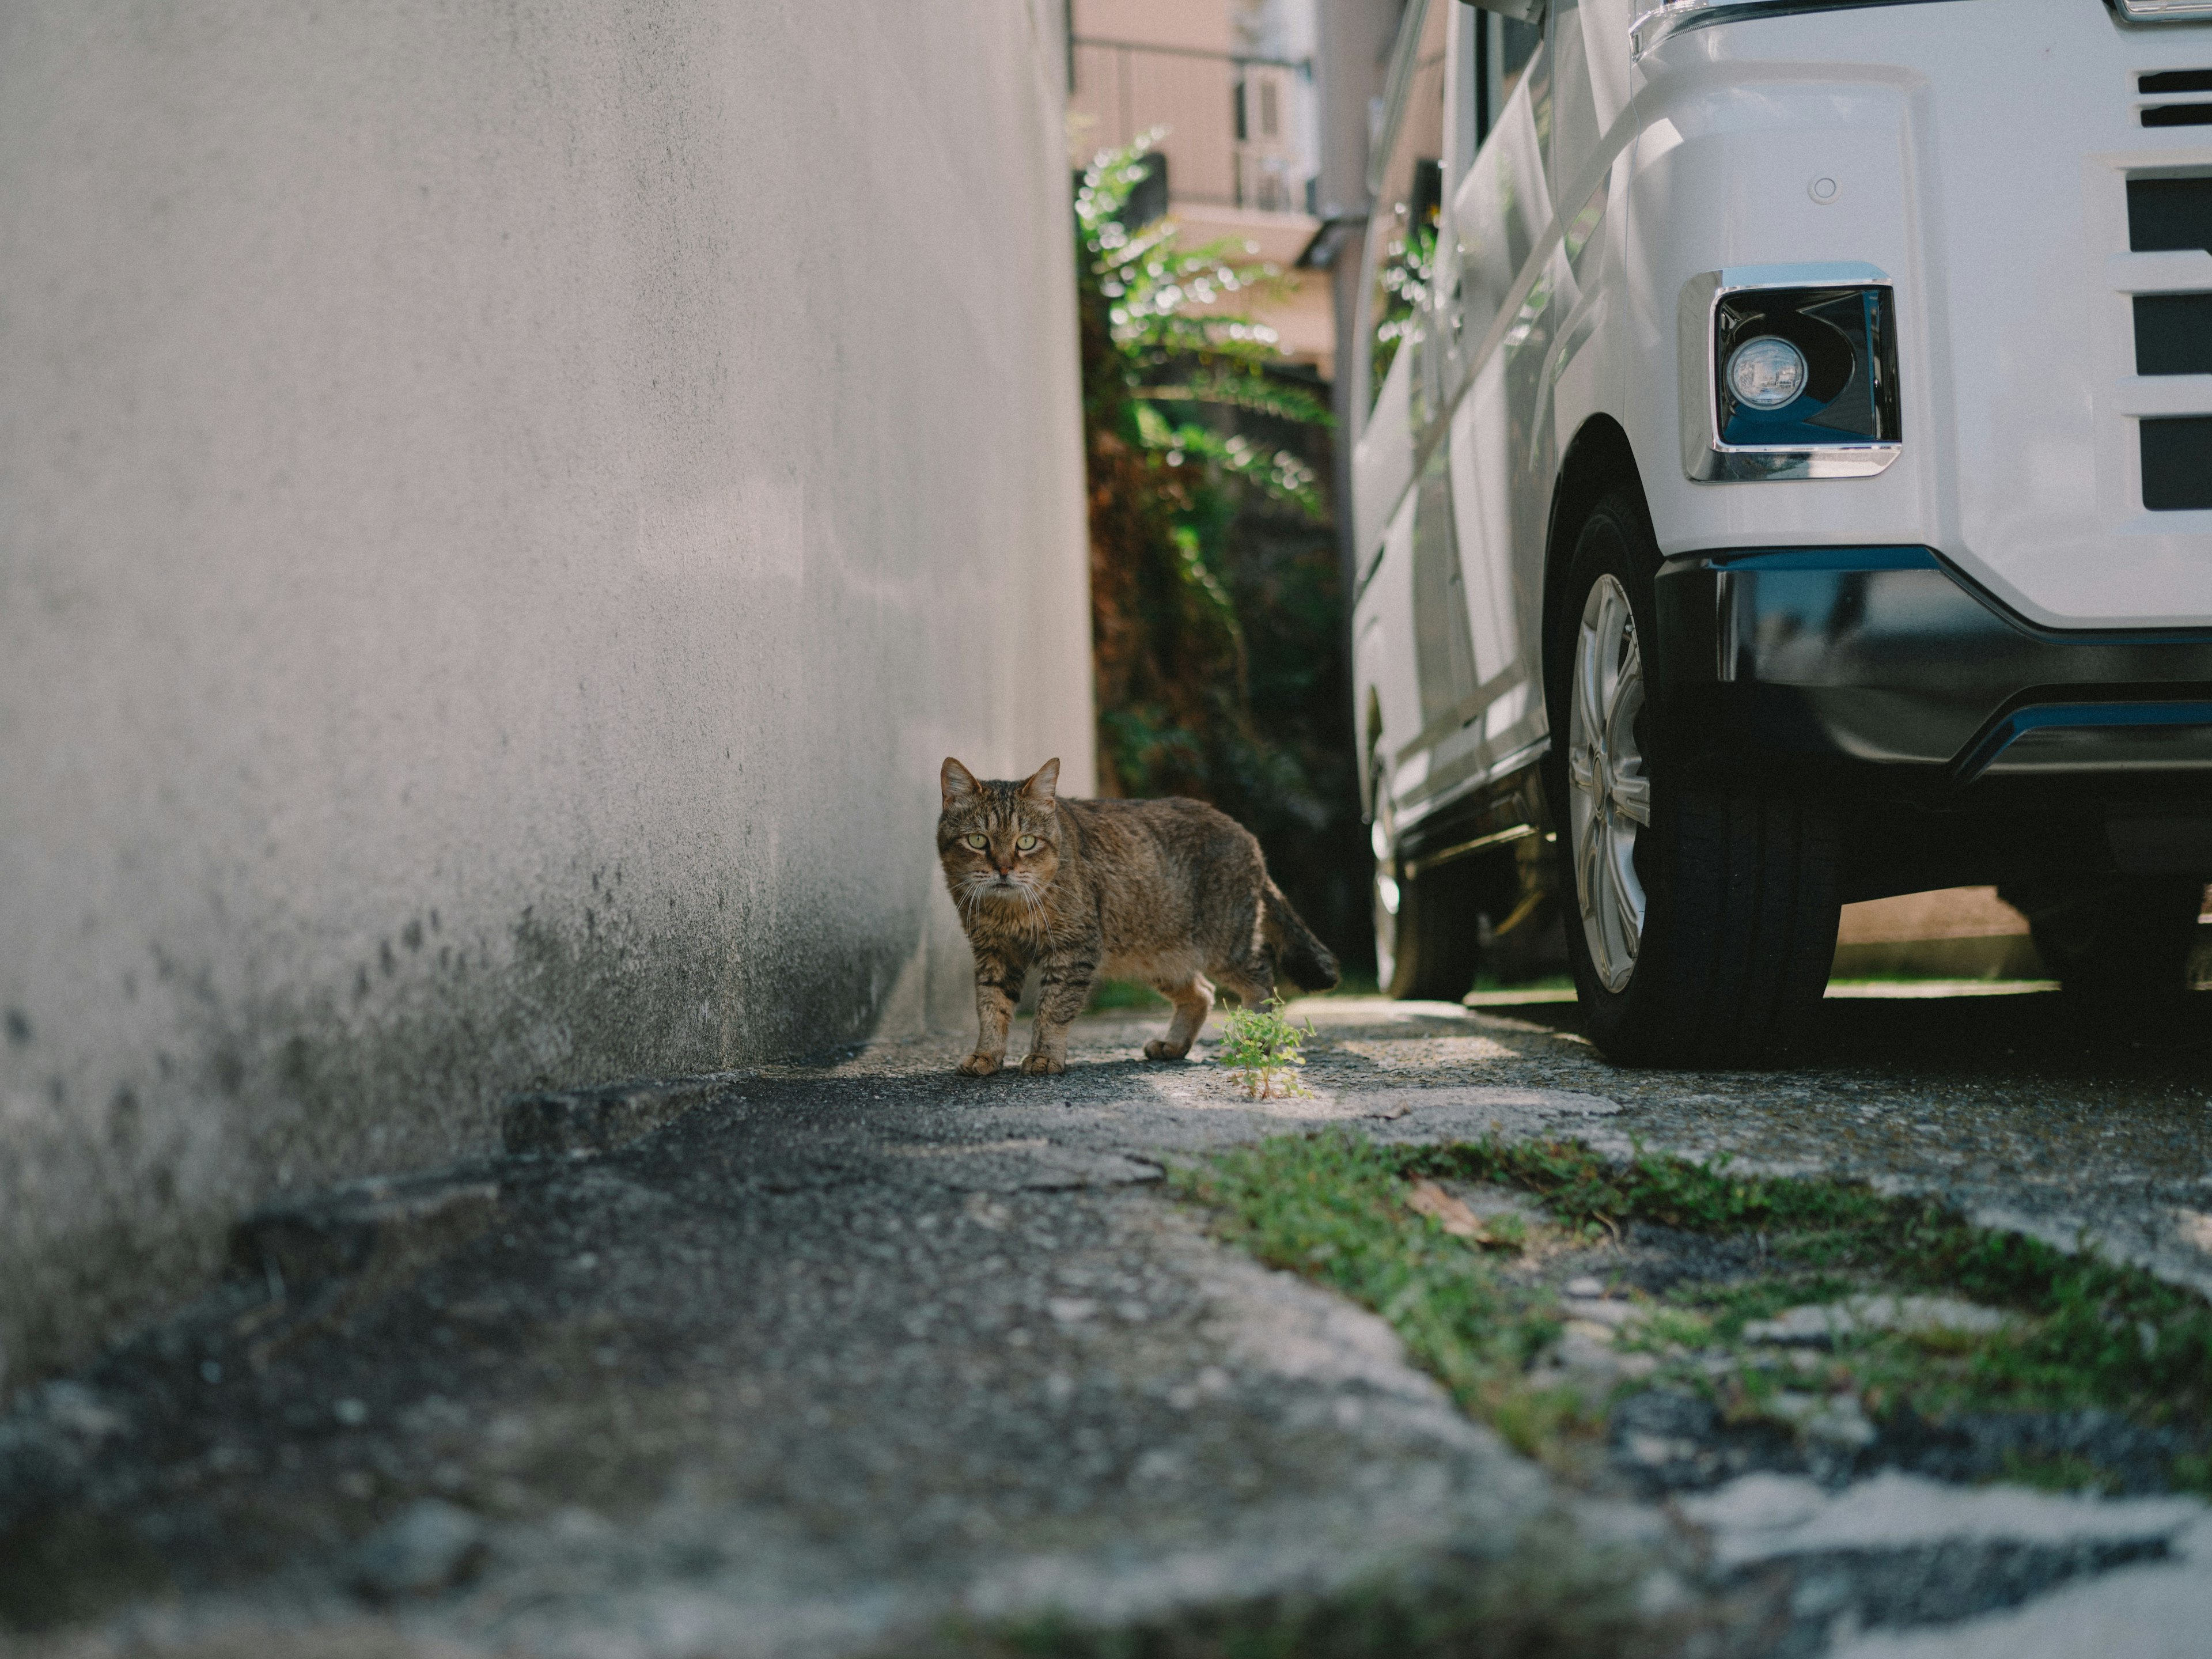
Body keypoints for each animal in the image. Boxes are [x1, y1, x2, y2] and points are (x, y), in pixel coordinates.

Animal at [933, 765, 1327, 1079]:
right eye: (978, 840)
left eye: (1027, 842)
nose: (1003, 869)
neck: (1009, 910)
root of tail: (1247, 836)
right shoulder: (994, 954)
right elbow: (992, 1008)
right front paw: (987, 1055)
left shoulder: (1073, 951)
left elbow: (1052, 1010)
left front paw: (1045, 1057)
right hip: (1161, 958)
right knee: (1203, 992)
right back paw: (1173, 1045)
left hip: (1228, 945)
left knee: (1263, 980)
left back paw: (1258, 1040)